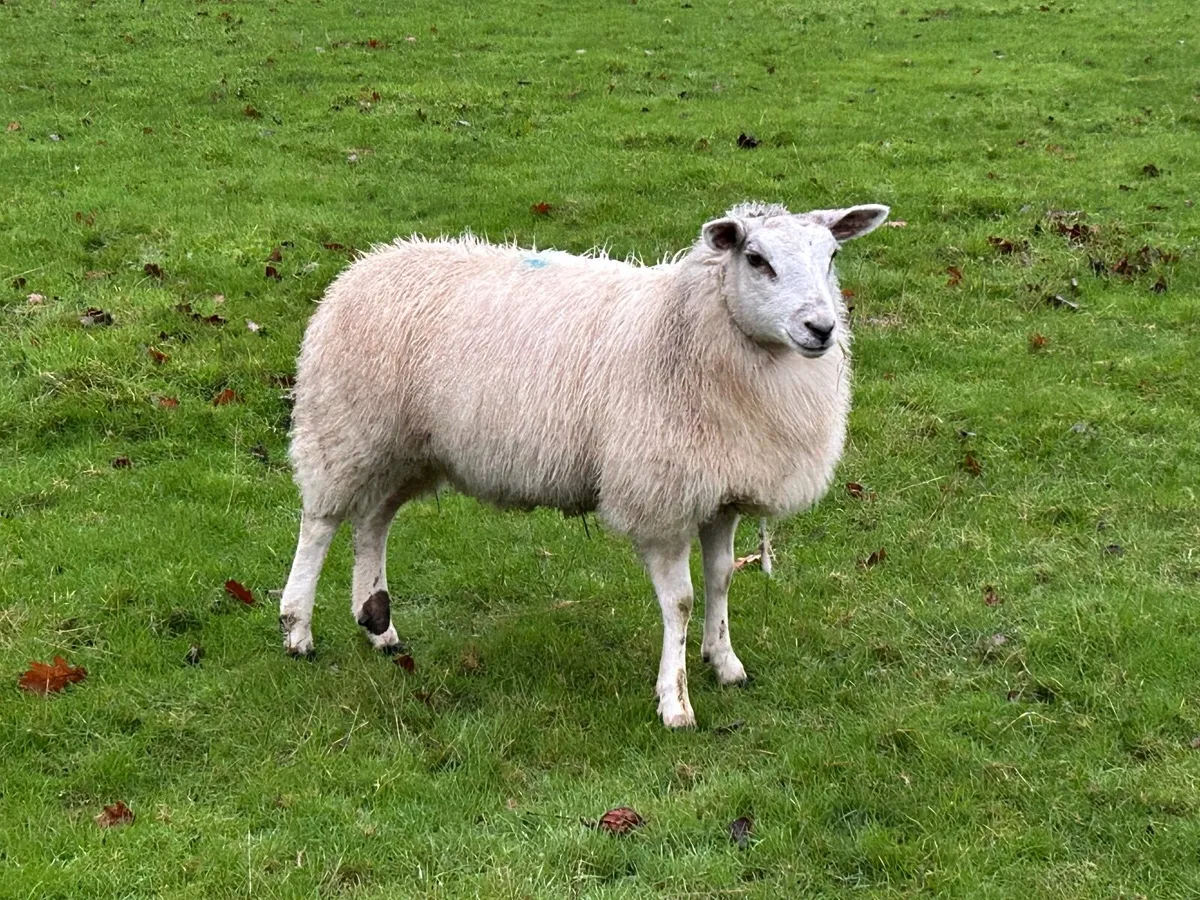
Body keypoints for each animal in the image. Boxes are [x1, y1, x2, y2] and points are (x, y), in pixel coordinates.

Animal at [278, 200, 889, 728]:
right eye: (757, 260)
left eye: (832, 256)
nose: (821, 328)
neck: (686, 331)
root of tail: (366, 263)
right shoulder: (660, 496)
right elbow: (682, 602)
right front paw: (676, 701)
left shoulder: (721, 492)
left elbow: (720, 580)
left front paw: (725, 662)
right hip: (345, 427)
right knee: (321, 522)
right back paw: (297, 629)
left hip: (410, 448)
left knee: (373, 521)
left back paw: (378, 626)